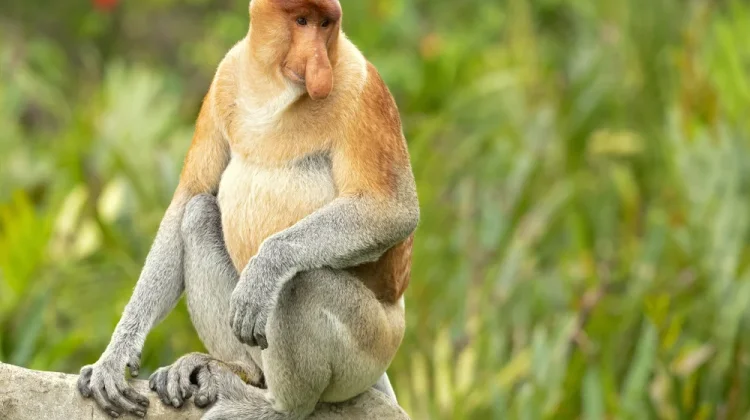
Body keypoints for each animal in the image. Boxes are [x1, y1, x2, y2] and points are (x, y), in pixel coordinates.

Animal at [76, 0, 419, 419]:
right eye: (301, 21)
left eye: (325, 25)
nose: (320, 64)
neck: (276, 91)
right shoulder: (225, 76)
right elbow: (188, 197)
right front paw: (112, 361)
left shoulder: (363, 88)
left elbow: (393, 210)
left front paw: (264, 270)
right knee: (197, 214)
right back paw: (232, 370)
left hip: (372, 342)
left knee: (299, 284)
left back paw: (270, 404)